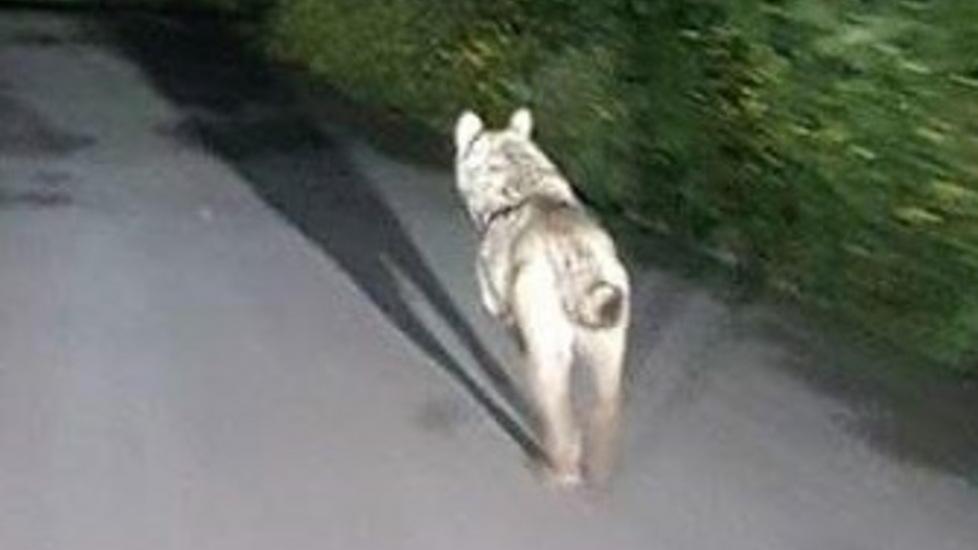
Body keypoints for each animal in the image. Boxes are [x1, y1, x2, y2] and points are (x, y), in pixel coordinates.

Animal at [454, 108, 630, 487]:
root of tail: (575, 251)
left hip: (549, 339)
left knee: (558, 404)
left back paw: (559, 466)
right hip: (610, 332)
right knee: (607, 402)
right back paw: (597, 468)